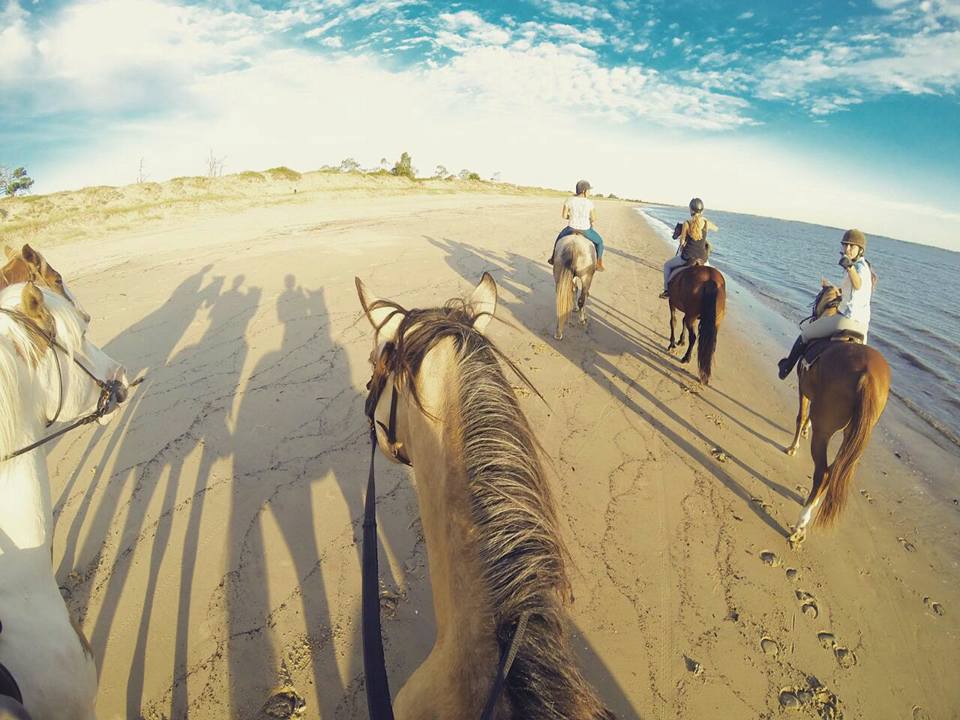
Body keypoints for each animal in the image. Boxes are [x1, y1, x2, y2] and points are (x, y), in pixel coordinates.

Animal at [784, 283, 890, 548]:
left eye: (816, 298)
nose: (812, 314)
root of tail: (867, 375)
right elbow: (806, 419)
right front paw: (802, 433)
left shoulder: (804, 390)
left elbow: (801, 416)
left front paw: (793, 446)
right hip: (853, 434)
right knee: (835, 472)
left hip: (825, 430)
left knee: (823, 473)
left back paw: (800, 524)